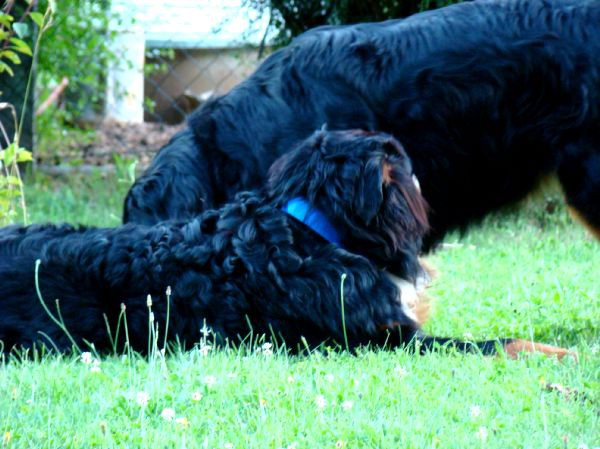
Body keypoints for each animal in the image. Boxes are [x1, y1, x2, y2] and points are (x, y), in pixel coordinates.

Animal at [0, 130, 572, 356]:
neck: (311, 231)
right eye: (407, 168)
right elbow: (503, 343)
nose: (430, 180)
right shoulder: (387, 341)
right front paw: (563, 353)